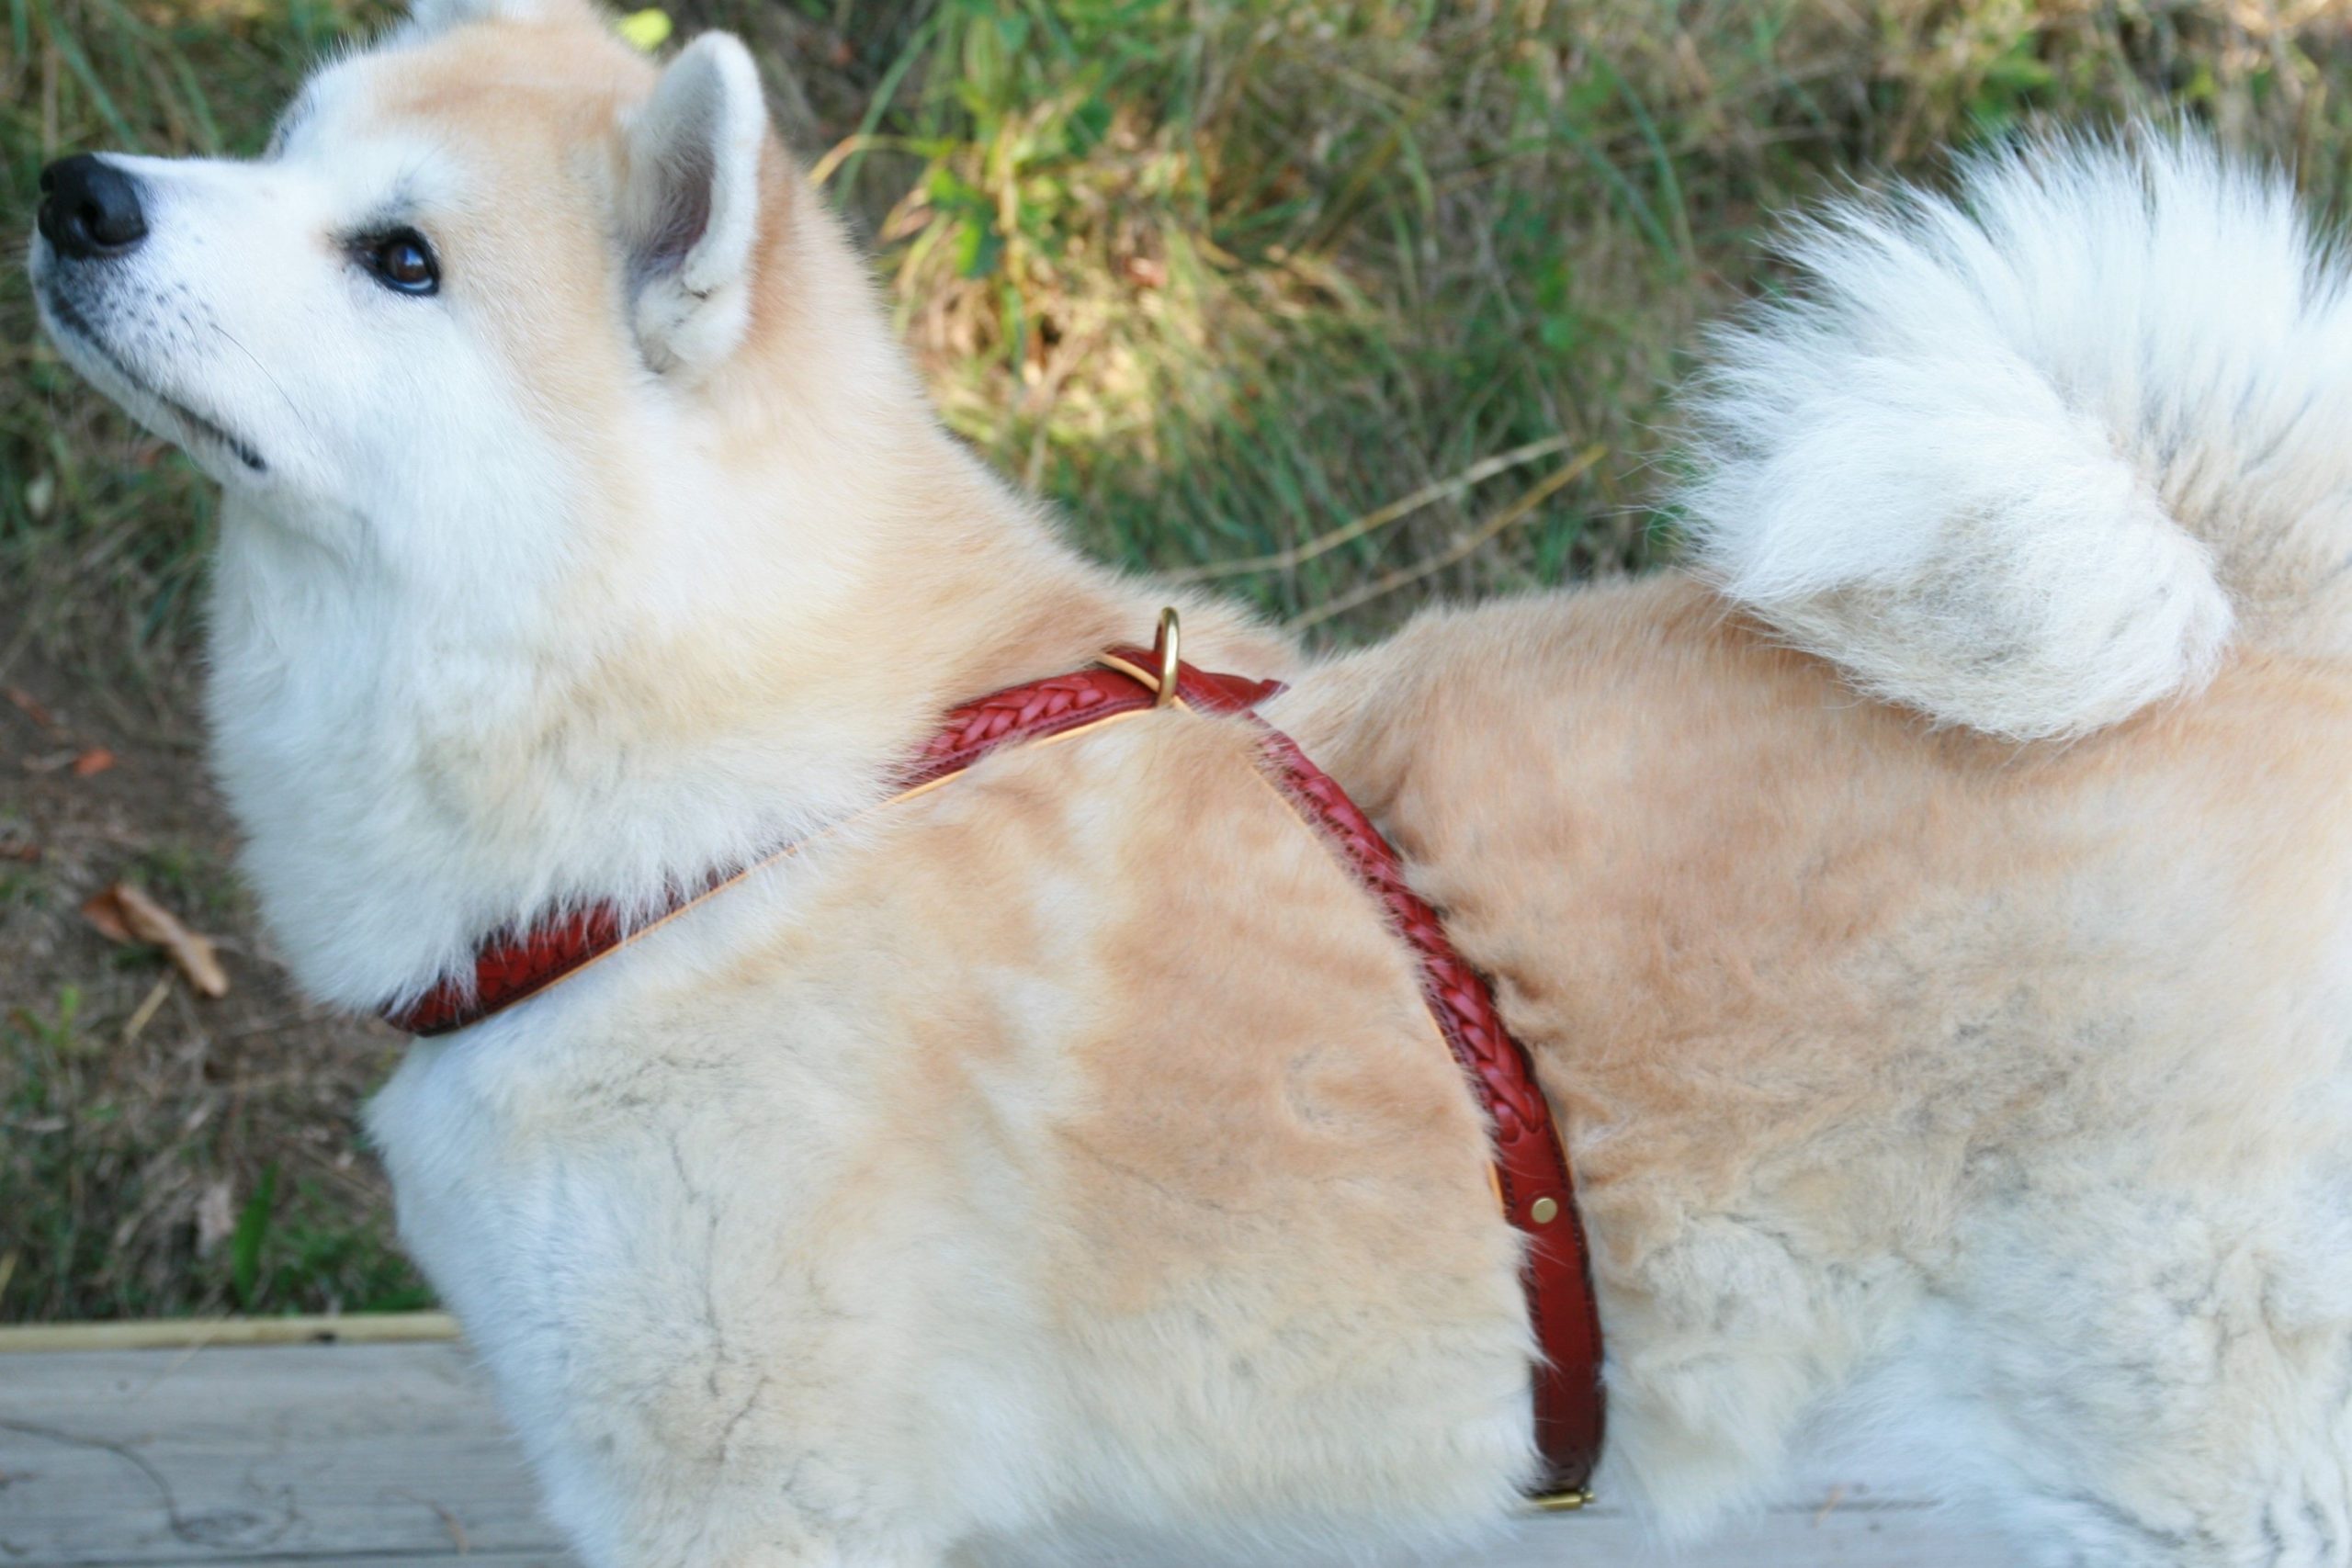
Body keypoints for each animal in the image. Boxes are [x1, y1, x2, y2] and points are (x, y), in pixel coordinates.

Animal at [32, 3, 2352, 1568]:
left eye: (398, 259)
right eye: (277, 151)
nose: (77, 192)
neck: (760, 801)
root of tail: (2257, 635)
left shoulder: (749, 1488)